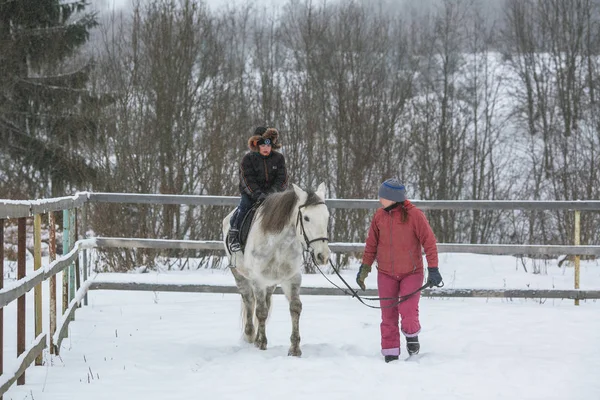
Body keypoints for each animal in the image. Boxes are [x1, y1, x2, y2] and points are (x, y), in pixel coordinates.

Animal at [223, 183, 330, 354]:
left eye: (327, 217)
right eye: (306, 218)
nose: (323, 255)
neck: (278, 245)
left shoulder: (292, 279)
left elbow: (295, 307)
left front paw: (294, 348)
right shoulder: (258, 281)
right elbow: (260, 311)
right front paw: (262, 344)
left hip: (271, 283)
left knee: (265, 301)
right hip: (240, 277)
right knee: (249, 301)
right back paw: (250, 335)